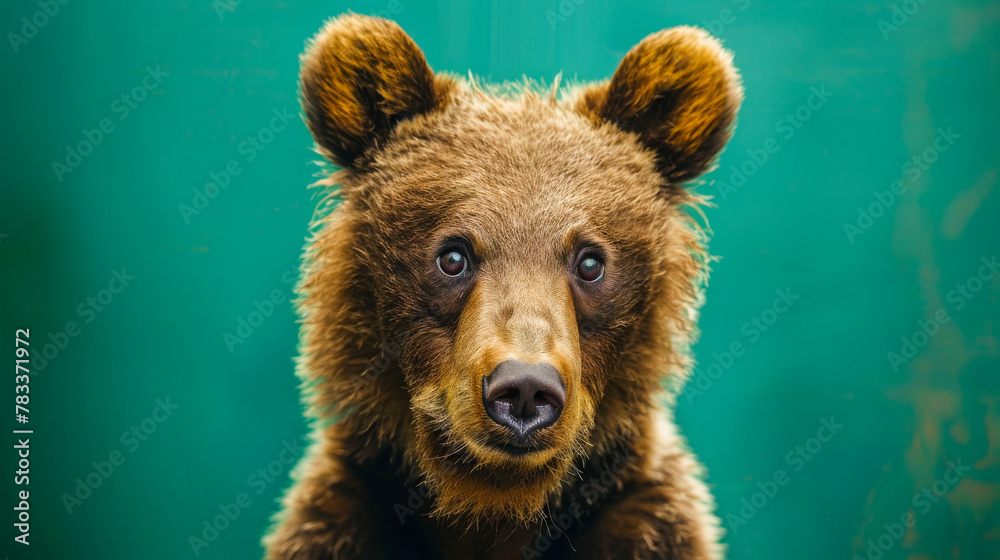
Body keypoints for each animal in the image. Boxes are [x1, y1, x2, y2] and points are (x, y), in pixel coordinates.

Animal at [264, 13, 742, 560]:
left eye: (591, 262)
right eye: (453, 256)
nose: (526, 388)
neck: (491, 513)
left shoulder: (645, 520)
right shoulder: (344, 517)